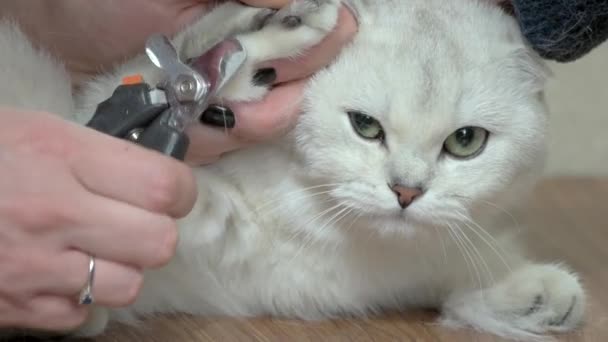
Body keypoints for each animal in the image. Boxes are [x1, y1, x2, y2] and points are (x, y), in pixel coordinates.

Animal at [0, 0, 588, 340]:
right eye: (365, 126)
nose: (406, 192)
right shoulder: (99, 103)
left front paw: (533, 293)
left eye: (465, 142)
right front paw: (282, 33)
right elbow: (177, 61)